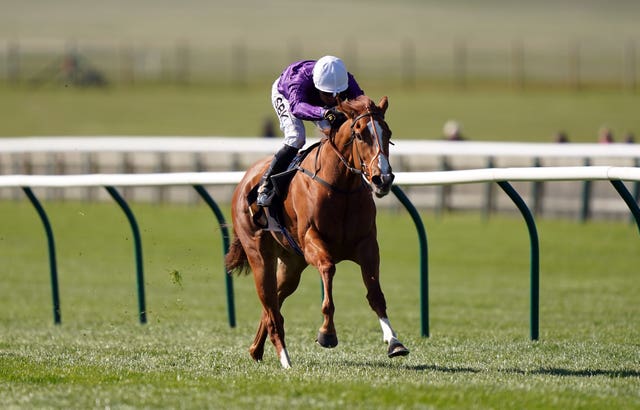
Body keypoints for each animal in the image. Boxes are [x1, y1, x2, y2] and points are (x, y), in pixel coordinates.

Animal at [225, 93, 410, 368]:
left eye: (387, 133)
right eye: (359, 134)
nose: (383, 179)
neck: (341, 187)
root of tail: (245, 179)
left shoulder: (367, 245)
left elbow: (376, 293)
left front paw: (394, 342)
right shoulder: (312, 241)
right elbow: (328, 270)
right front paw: (327, 333)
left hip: (291, 264)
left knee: (273, 302)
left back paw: (255, 350)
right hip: (259, 255)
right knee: (270, 306)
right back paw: (285, 359)